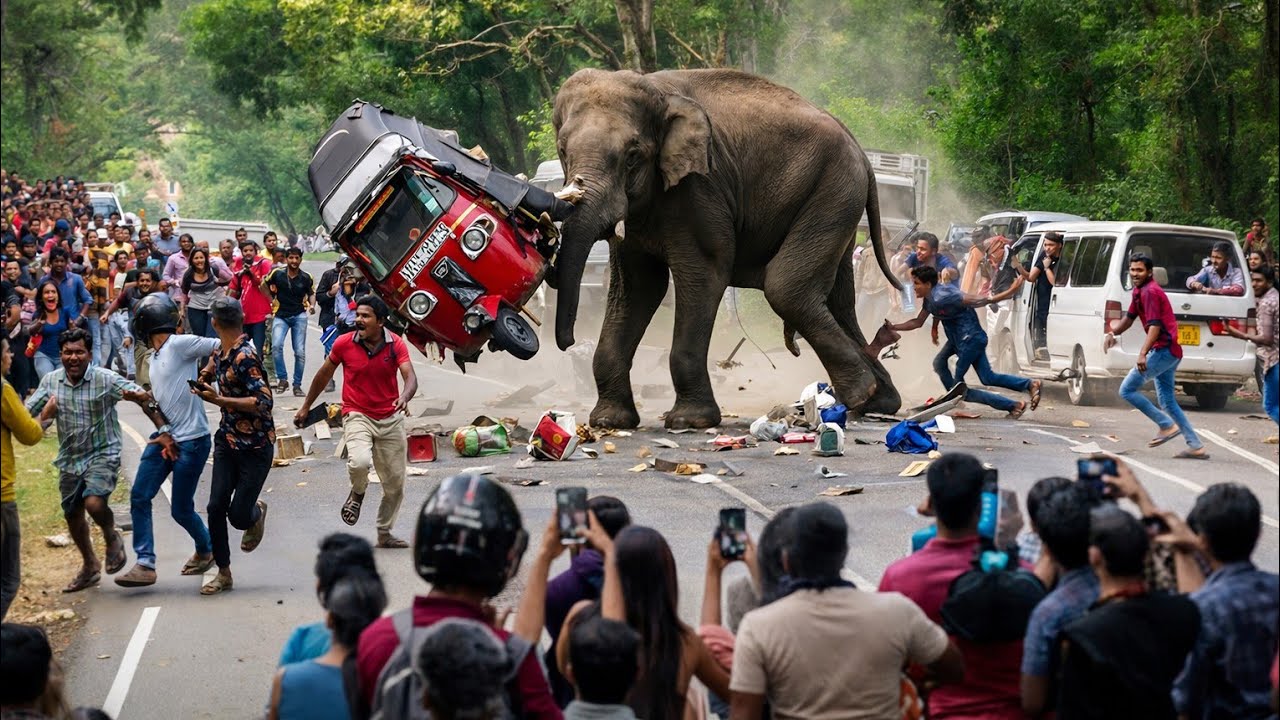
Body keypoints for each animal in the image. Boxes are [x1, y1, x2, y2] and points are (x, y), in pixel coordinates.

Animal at [547, 68, 903, 430]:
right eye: (562, 150)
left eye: (632, 157)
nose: (569, 342)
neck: (656, 93)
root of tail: (860, 149)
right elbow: (637, 288)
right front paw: (610, 422)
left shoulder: (700, 189)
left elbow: (703, 275)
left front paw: (690, 421)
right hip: (838, 197)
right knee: (837, 300)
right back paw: (877, 401)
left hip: (833, 190)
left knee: (787, 288)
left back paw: (857, 395)